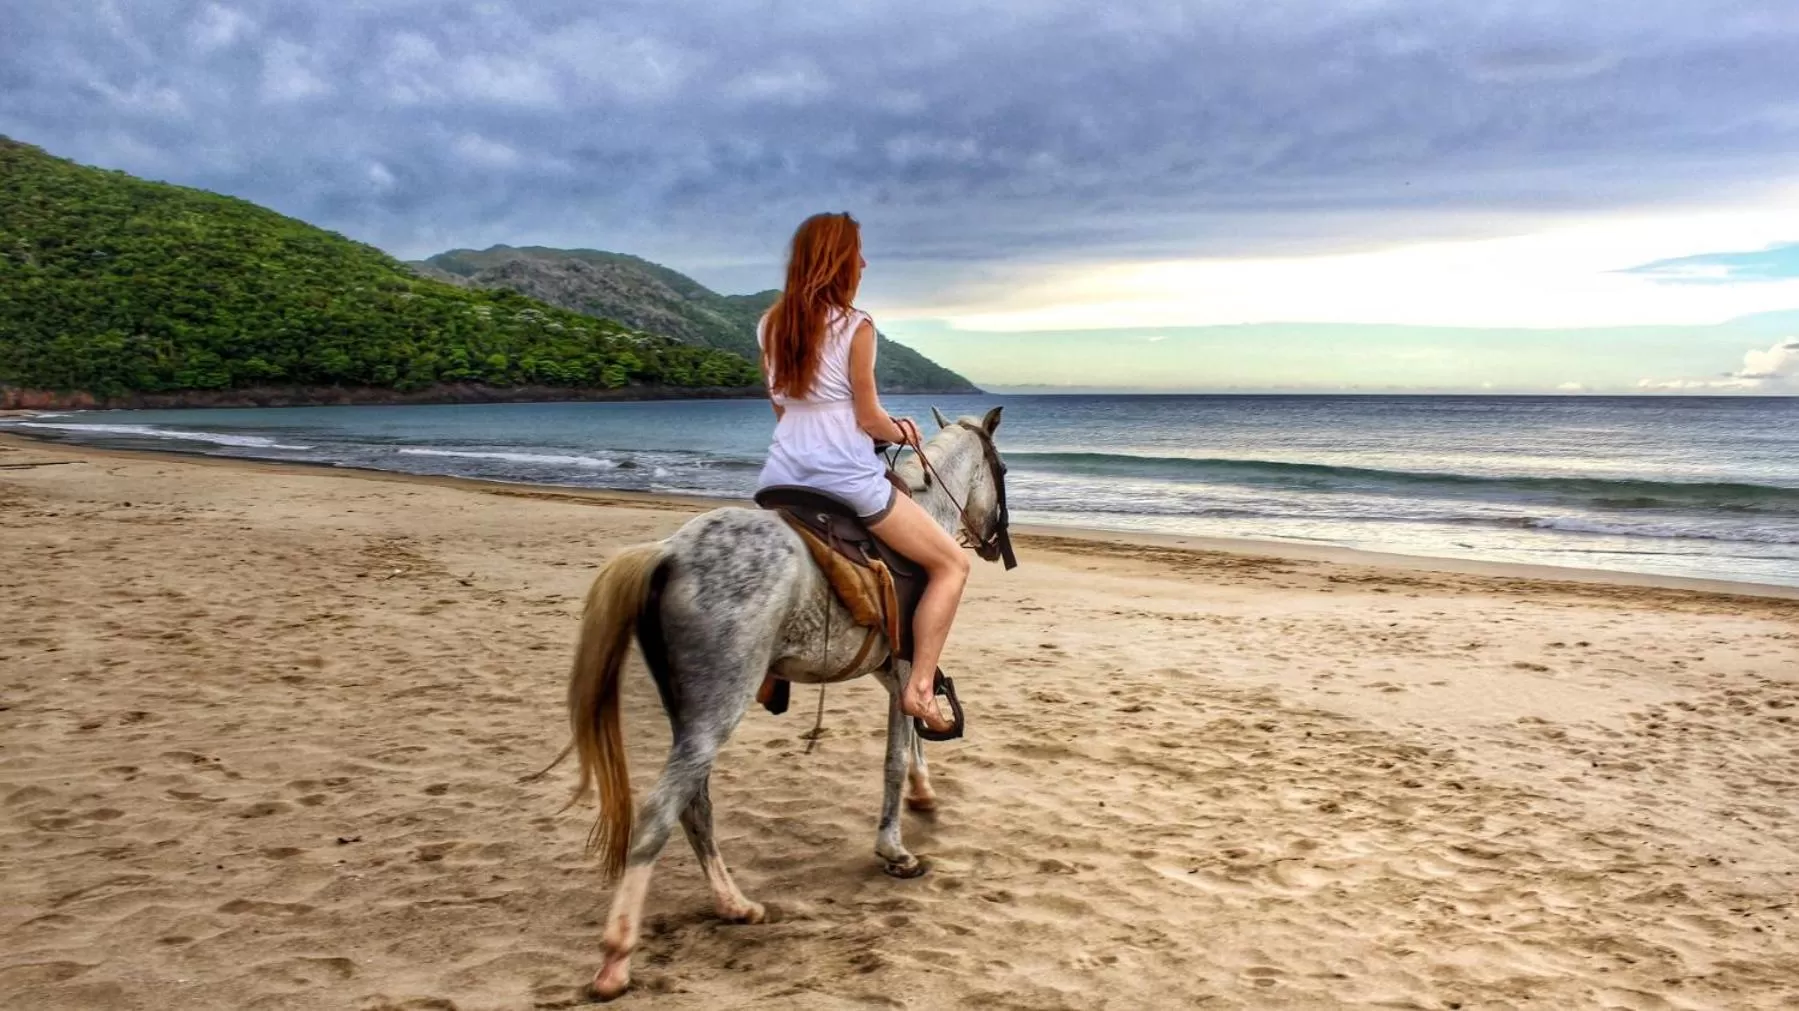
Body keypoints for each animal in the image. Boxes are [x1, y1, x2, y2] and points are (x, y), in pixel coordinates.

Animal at [552, 405, 1015, 1000]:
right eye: (1003, 468)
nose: (993, 542)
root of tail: (668, 554)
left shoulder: (890, 671)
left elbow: (912, 736)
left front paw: (924, 791)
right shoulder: (906, 666)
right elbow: (896, 752)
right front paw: (894, 849)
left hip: (690, 709)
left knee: (694, 804)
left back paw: (733, 904)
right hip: (720, 704)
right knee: (660, 811)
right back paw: (616, 958)